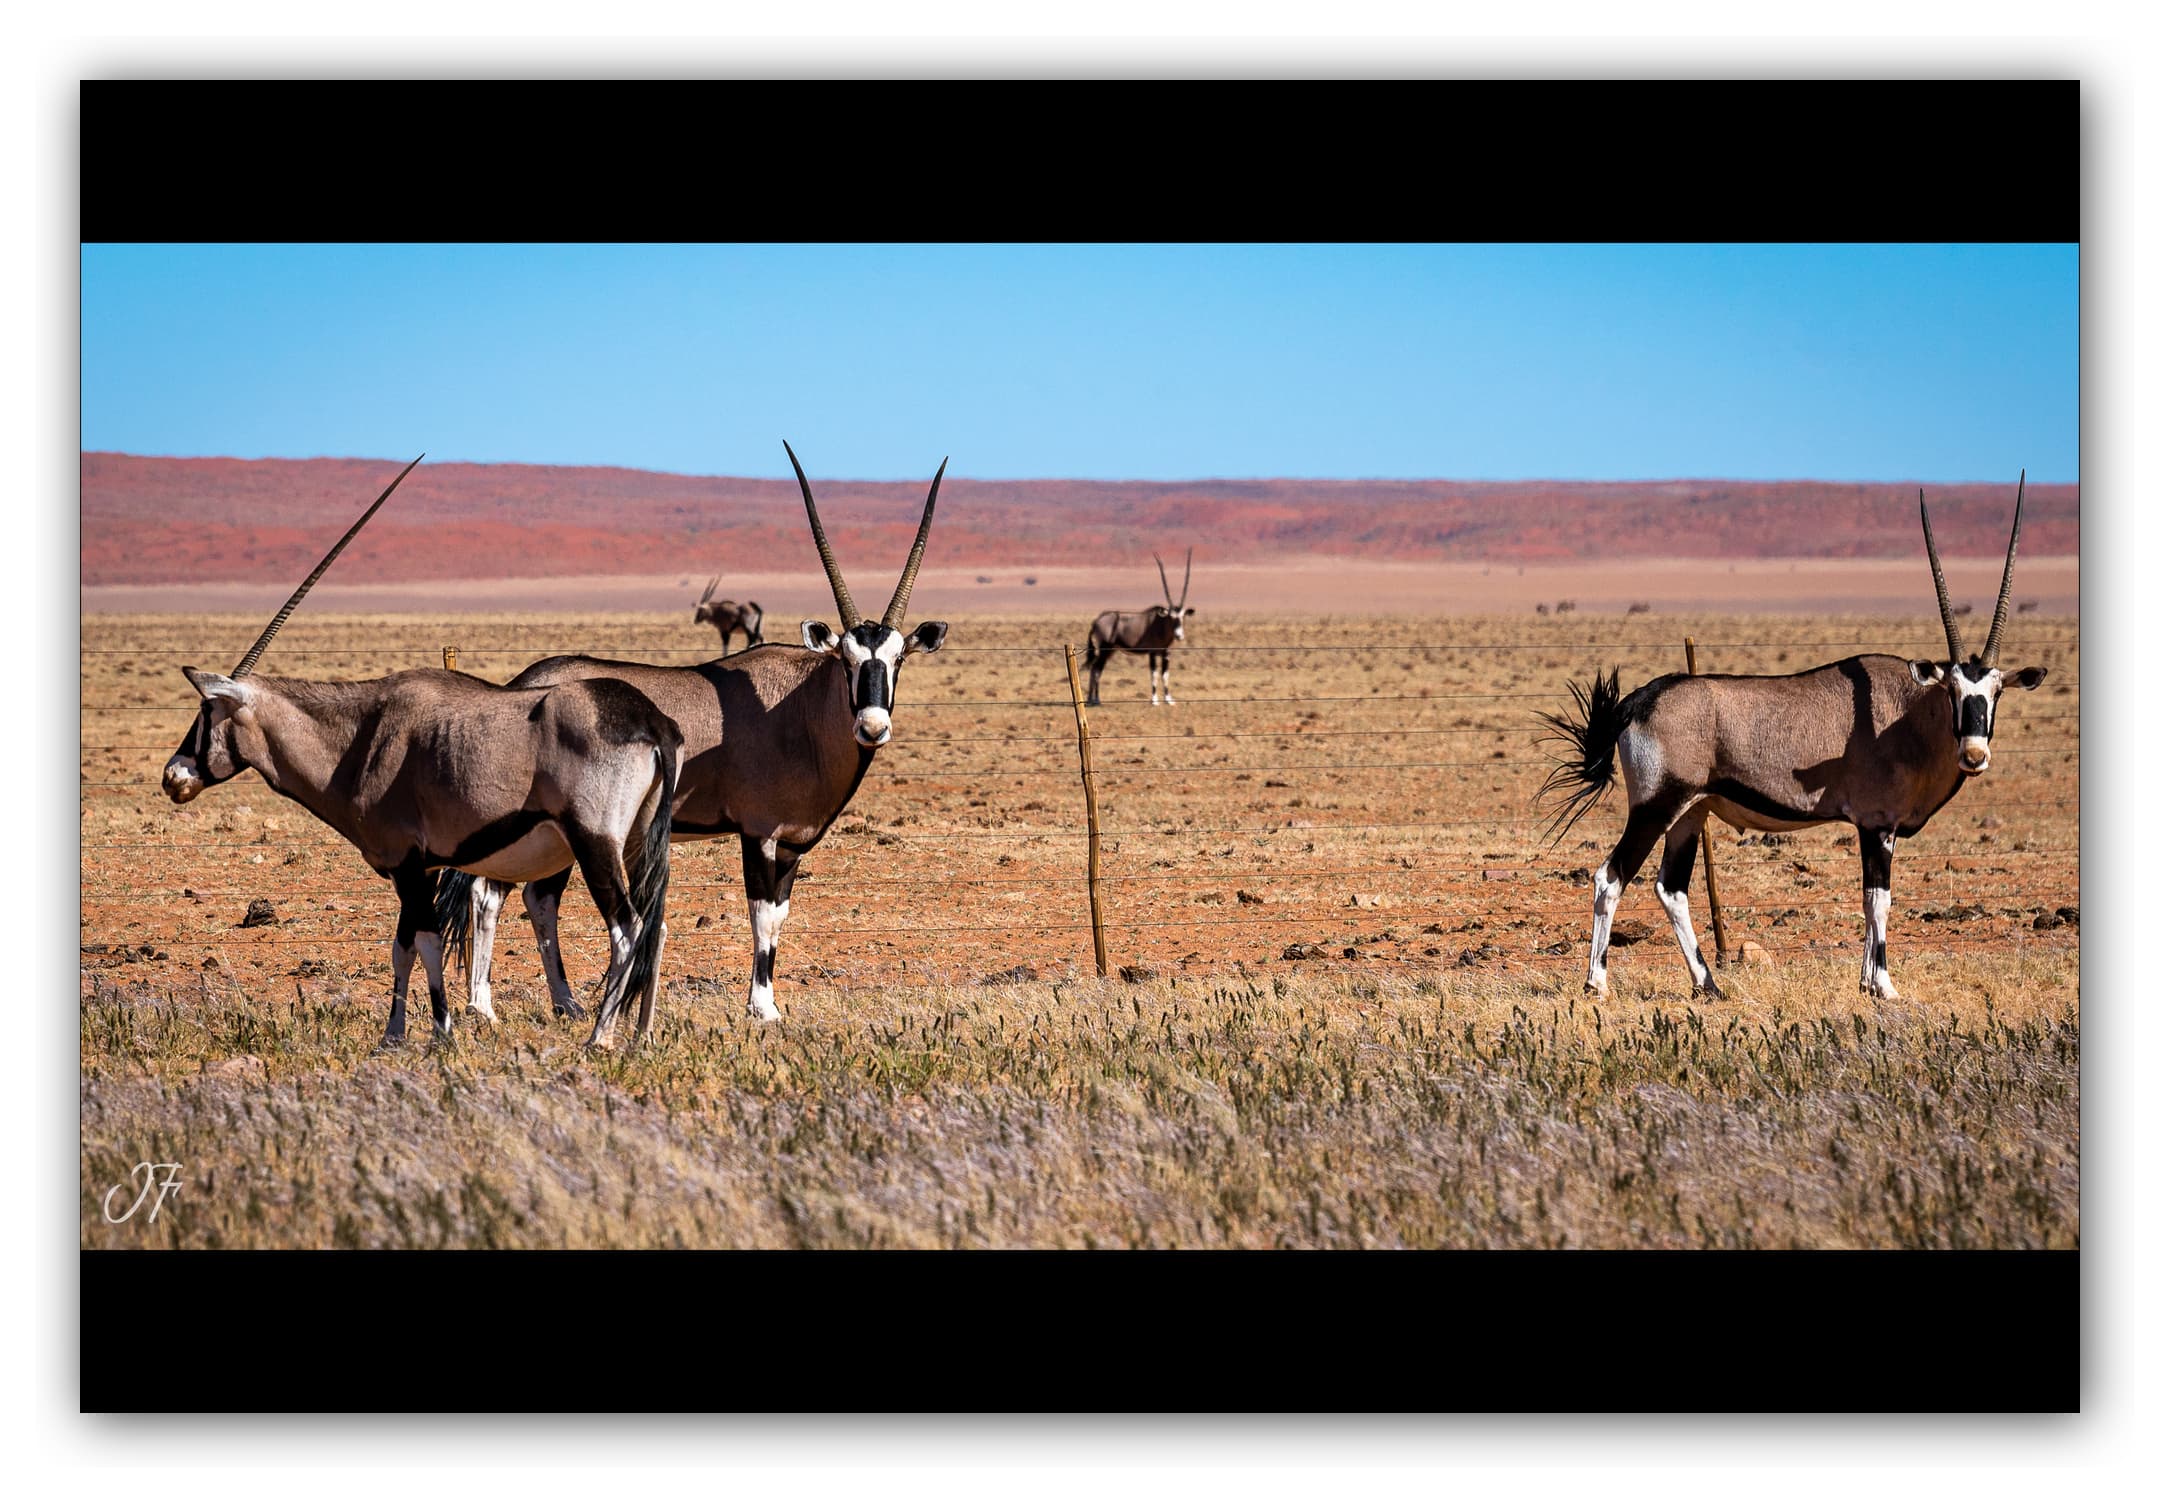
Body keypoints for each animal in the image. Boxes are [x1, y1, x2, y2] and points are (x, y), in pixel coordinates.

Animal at [159, 458, 684, 1049]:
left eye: (207, 711)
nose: (174, 776)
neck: (360, 739)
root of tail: (652, 721)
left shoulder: (407, 862)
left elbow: (425, 942)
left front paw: (440, 1033)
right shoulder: (421, 868)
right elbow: (402, 946)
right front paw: (393, 1035)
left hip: (594, 843)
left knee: (627, 927)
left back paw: (599, 1036)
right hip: (637, 840)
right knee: (654, 923)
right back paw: (641, 1034)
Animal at [438, 441, 949, 1023]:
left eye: (898, 658)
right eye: (846, 659)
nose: (872, 725)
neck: (798, 712)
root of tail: (522, 683)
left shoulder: (793, 844)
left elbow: (781, 915)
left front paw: (768, 1005)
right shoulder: (759, 834)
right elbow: (761, 914)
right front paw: (762, 1007)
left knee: (535, 898)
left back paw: (565, 1004)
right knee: (490, 894)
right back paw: (483, 1006)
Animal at [1084, 549, 1194, 706]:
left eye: (1182, 616)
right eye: (1171, 617)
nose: (1179, 635)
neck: (1160, 623)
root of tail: (1096, 621)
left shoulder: (1166, 653)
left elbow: (1165, 675)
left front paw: (1169, 700)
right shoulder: (1152, 653)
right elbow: (1154, 674)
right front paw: (1154, 700)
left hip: (1110, 651)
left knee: (1094, 668)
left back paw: (1090, 699)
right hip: (1105, 649)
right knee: (1097, 669)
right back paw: (1096, 700)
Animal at [1536, 476, 2046, 1002]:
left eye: (1996, 692)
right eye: (1952, 691)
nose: (1974, 753)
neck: (1906, 714)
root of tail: (1637, 700)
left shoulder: (1875, 828)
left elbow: (1869, 900)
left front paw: (1866, 981)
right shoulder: (1877, 825)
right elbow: (1879, 900)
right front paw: (1883, 986)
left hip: (1691, 813)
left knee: (1671, 888)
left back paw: (1709, 984)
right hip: (1656, 806)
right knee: (1610, 876)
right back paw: (1597, 982)